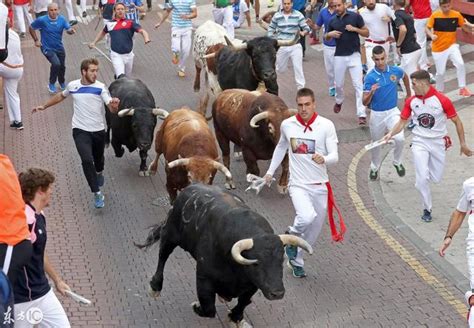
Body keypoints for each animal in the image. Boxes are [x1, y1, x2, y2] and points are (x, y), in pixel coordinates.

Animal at [134, 184, 312, 326]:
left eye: (281, 259)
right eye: (255, 263)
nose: (277, 293)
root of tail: (188, 189)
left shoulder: (252, 284)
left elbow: (243, 302)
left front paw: (235, 318)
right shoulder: (204, 277)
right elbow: (208, 308)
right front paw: (196, 306)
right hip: (170, 234)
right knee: (163, 255)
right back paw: (155, 287)